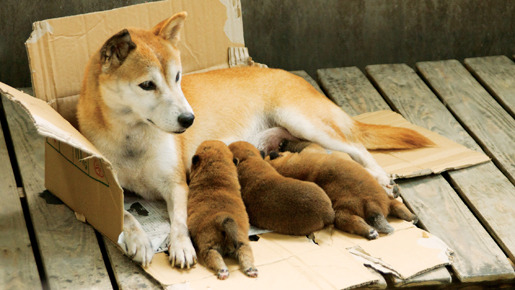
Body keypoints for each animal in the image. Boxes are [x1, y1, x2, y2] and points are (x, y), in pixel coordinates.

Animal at [187, 140, 258, 280]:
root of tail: (222, 218)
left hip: (208, 245)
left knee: (213, 256)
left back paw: (223, 271)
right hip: (242, 241)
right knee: (245, 253)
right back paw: (250, 270)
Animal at [268, 141, 418, 240]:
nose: (281, 144)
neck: (288, 166)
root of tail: (372, 204)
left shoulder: (312, 149)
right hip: (345, 213)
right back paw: (372, 231)